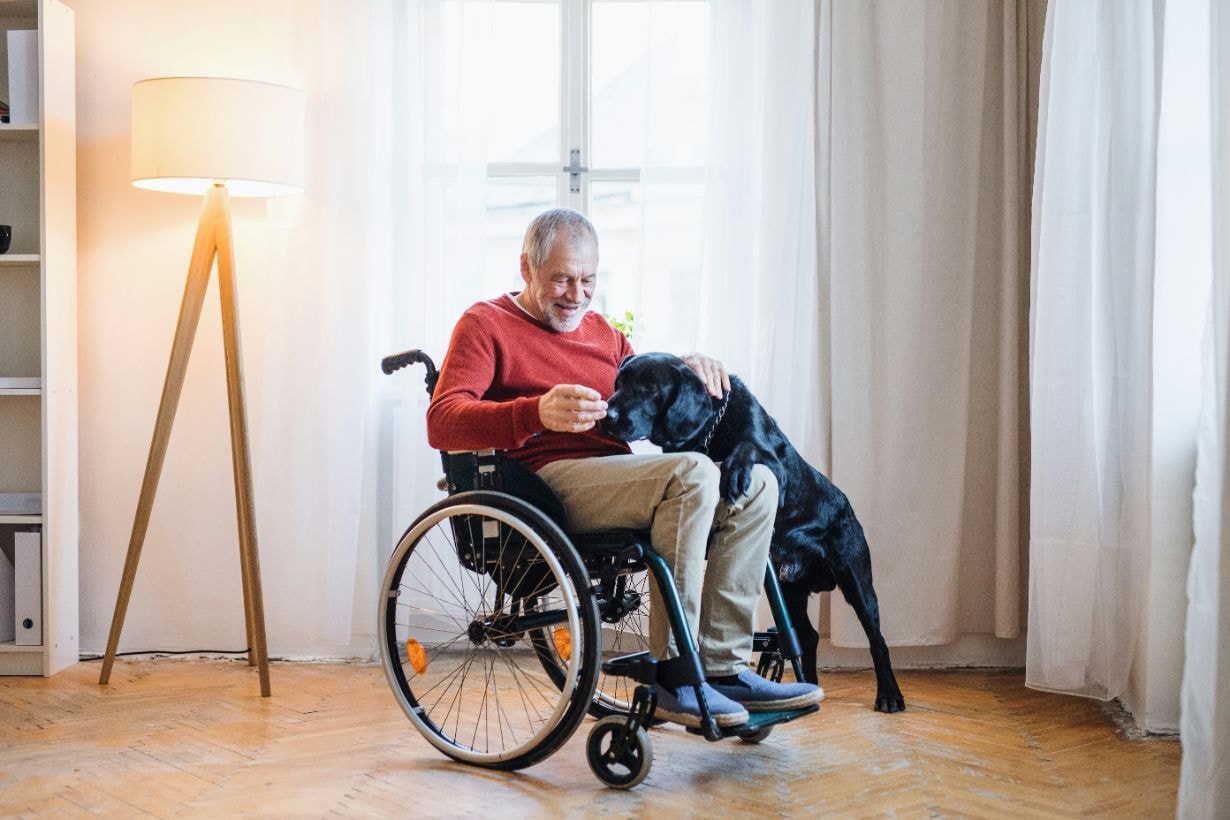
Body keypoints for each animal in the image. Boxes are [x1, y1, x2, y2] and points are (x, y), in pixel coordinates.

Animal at [602, 354, 905, 713]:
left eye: (650, 386)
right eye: (619, 383)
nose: (607, 415)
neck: (709, 431)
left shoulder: (777, 471)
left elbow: (749, 449)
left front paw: (733, 471)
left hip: (857, 582)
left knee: (878, 641)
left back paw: (889, 695)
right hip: (790, 589)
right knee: (808, 636)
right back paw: (809, 684)